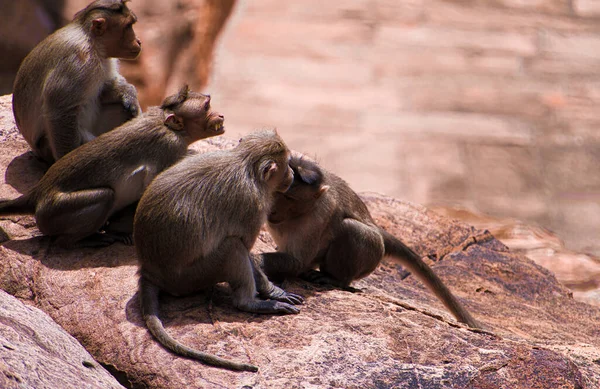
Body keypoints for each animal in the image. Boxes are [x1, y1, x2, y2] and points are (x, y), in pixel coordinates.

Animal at [0, 85, 224, 247]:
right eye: (206, 107)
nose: (220, 115)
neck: (169, 126)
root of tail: (37, 193)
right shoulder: (170, 148)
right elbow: (150, 187)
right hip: (54, 212)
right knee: (103, 197)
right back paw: (83, 240)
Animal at [12, 0, 144, 164]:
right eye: (128, 26)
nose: (139, 41)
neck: (93, 43)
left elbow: (105, 89)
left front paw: (129, 93)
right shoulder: (77, 62)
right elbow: (60, 112)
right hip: (48, 147)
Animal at [136, 130, 304, 370]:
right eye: (287, 164)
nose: (291, 173)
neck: (246, 165)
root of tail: (149, 271)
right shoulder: (253, 207)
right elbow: (245, 248)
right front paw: (274, 292)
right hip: (190, 278)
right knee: (233, 248)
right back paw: (250, 303)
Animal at [255, 155, 480, 328]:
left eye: (290, 198)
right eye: (278, 192)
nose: (273, 210)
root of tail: (379, 230)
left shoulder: (318, 214)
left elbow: (298, 262)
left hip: (371, 253)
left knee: (351, 229)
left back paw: (334, 279)